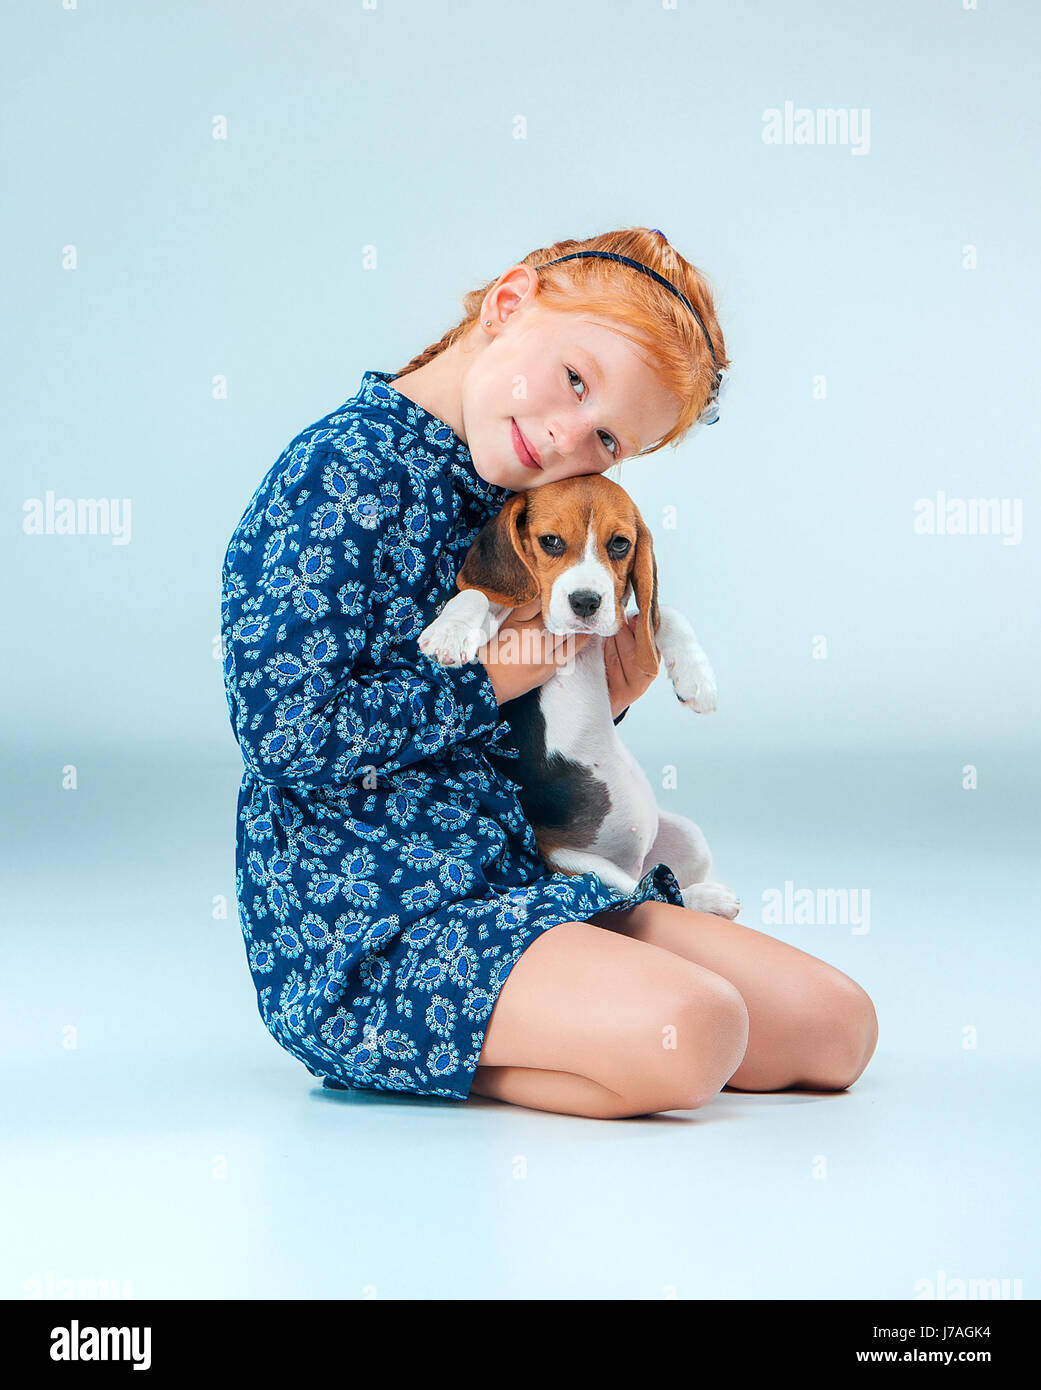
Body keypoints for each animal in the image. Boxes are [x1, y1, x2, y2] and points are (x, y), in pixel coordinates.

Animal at [416, 472, 739, 917]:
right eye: (550, 541)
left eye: (619, 544)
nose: (586, 602)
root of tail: (631, 860)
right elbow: (477, 594)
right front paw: (447, 633)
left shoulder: (617, 625)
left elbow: (660, 615)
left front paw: (697, 679)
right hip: (576, 864)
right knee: (649, 890)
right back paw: (707, 899)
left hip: (688, 839)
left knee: (658, 880)